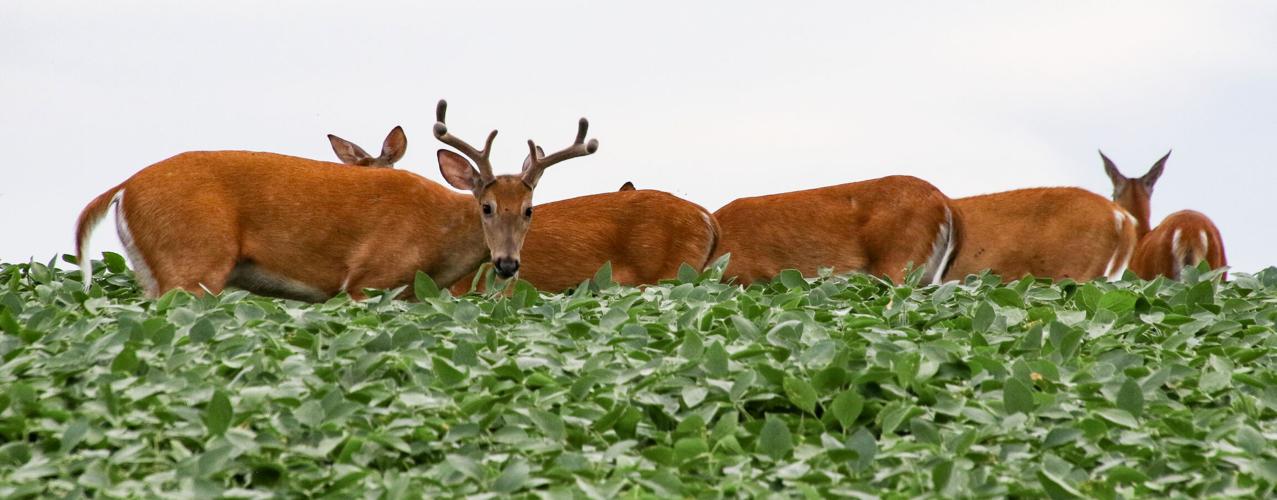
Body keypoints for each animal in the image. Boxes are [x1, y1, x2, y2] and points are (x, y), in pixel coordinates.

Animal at [74, 100, 598, 301]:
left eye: (529, 210)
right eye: (486, 207)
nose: (508, 264)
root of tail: (124, 185)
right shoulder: (367, 279)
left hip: (156, 273)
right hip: (192, 263)